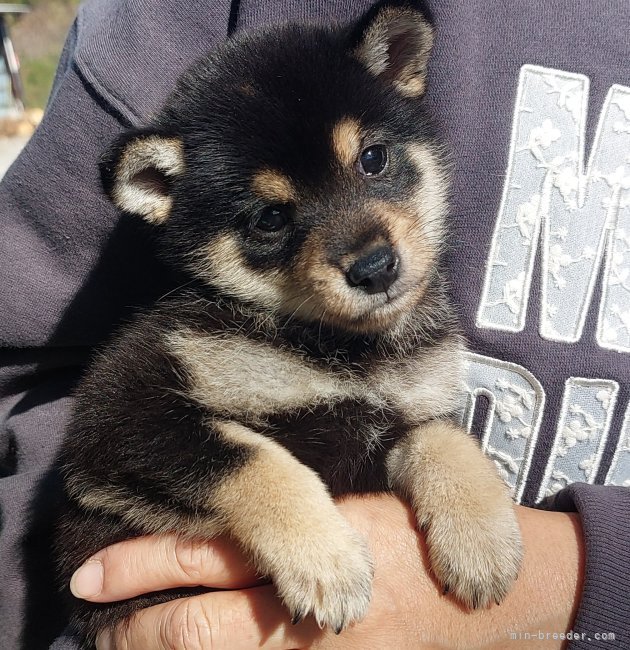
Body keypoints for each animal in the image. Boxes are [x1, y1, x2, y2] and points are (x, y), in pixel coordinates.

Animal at [56, 2, 524, 644]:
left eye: (373, 159)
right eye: (271, 218)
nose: (375, 268)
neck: (341, 349)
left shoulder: (399, 416)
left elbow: (445, 439)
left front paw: (483, 540)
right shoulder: (125, 414)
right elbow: (256, 460)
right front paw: (327, 561)